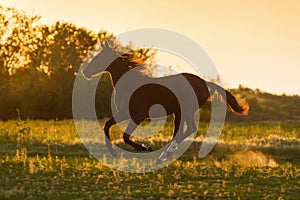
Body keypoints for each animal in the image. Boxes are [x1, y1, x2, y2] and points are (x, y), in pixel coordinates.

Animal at [82, 41, 248, 162]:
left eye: (98, 57)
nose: (85, 72)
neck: (129, 84)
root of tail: (204, 83)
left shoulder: (137, 115)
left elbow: (125, 136)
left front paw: (145, 148)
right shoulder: (124, 113)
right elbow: (107, 125)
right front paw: (113, 153)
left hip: (186, 109)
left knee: (190, 129)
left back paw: (163, 155)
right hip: (178, 112)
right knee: (180, 131)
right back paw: (164, 156)